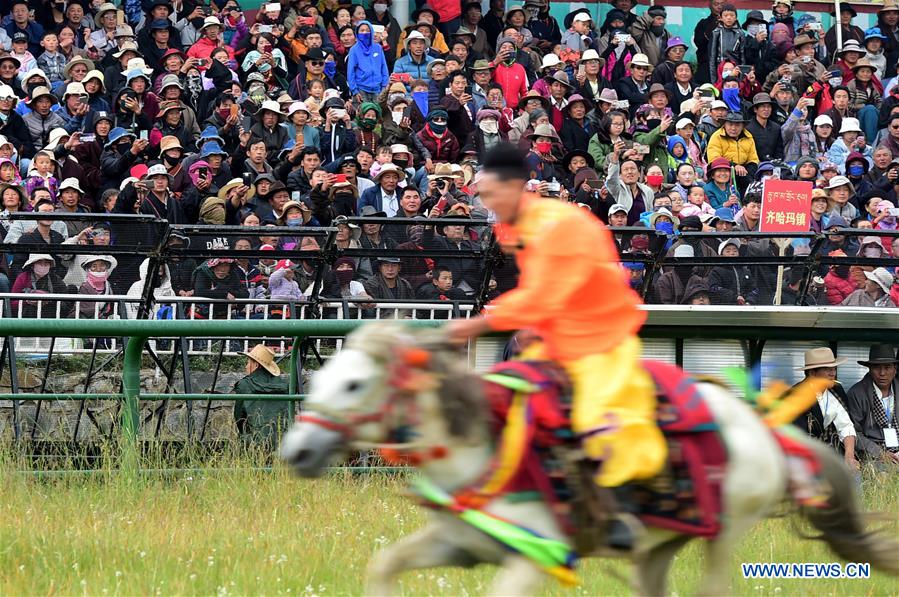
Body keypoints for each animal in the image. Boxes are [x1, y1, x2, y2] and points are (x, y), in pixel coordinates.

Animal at [282, 324, 899, 592]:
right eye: (322, 375)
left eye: (355, 384)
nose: (298, 451)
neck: (484, 447)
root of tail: (763, 430)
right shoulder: (456, 544)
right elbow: (384, 567)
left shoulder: (532, 557)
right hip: (661, 544)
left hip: (724, 532)